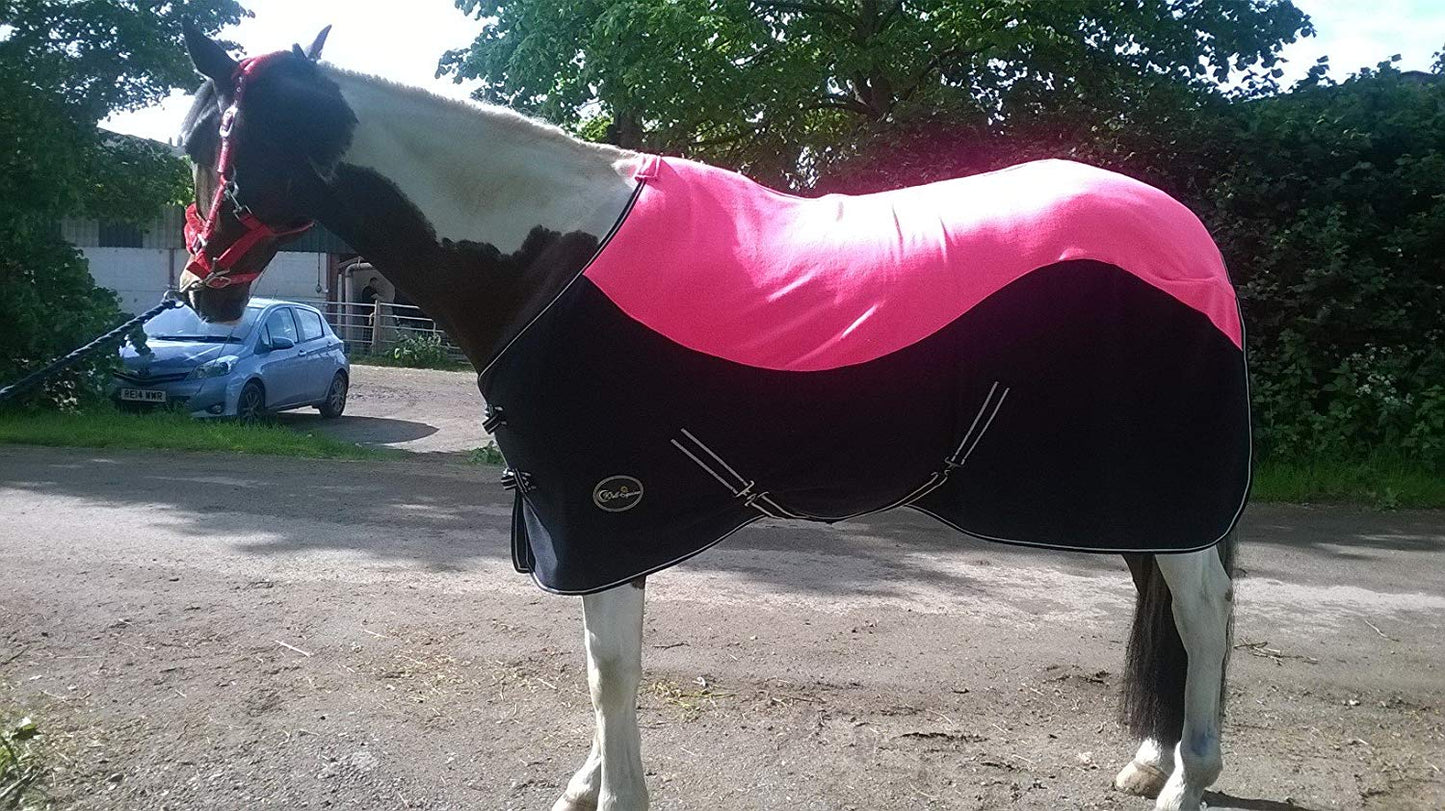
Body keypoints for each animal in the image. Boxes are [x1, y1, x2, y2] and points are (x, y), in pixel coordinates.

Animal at [176, 22, 1246, 811]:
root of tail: (1188, 239)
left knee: (1203, 610)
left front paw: (615, 795)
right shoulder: (608, 520)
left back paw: (1187, 779)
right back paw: (1152, 760)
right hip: (1135, 496)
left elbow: (609, 667)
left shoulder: (601, 507)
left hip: (1159, 485)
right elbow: (606, 662)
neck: (549, 252)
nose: (203, 291)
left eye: (201, 143)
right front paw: (587, 782)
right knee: (1166, 603)